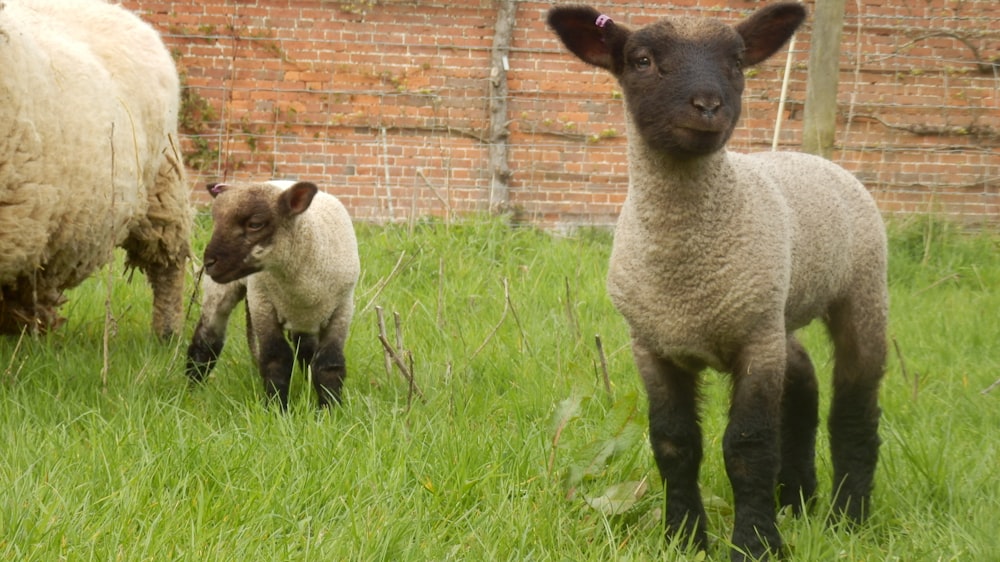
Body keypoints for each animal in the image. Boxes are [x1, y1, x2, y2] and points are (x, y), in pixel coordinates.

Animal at [186, 182, 362, 410]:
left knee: (306, 349)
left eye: (255, 224)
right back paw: (192, 388)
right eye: (215, 221)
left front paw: (330, 410)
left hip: (304, 317)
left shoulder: (342, 308)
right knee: (207, 340)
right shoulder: (262, 303)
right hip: (222, 291)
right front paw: (277, 408)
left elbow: (329, 364)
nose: (209, 263)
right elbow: (277, 359)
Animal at [548, 4, 892, 560]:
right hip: (775, 310)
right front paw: (683, 537)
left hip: (859, 289)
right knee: (803, 383)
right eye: (642, 60)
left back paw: (848, 516)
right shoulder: (654, 345)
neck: (687, 272)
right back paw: (797, 499)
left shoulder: (754, 342)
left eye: (736, 61)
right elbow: (673, 443)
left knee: (855, 407)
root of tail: (808, 155)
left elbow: (749, 447)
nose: (708, 106)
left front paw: (756, 544)